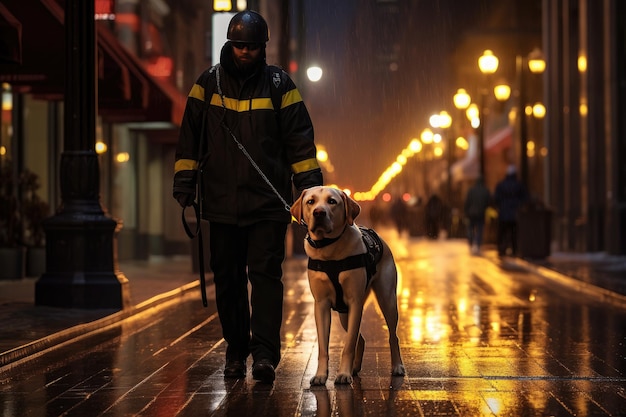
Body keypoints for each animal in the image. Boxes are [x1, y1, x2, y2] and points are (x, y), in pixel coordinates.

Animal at [292, 185, 404, 384]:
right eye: (310, 201)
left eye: (332, 201)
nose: (319, 213)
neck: (329, 249)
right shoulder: (321, 305)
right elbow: (324, 346)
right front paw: (321, 375)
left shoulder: (355, 302)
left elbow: (348, 344)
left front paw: (343, 373)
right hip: (345, 314)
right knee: (361, 339)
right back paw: (355, 368)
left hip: (387, 300)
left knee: (392, 335)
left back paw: (397, 366)